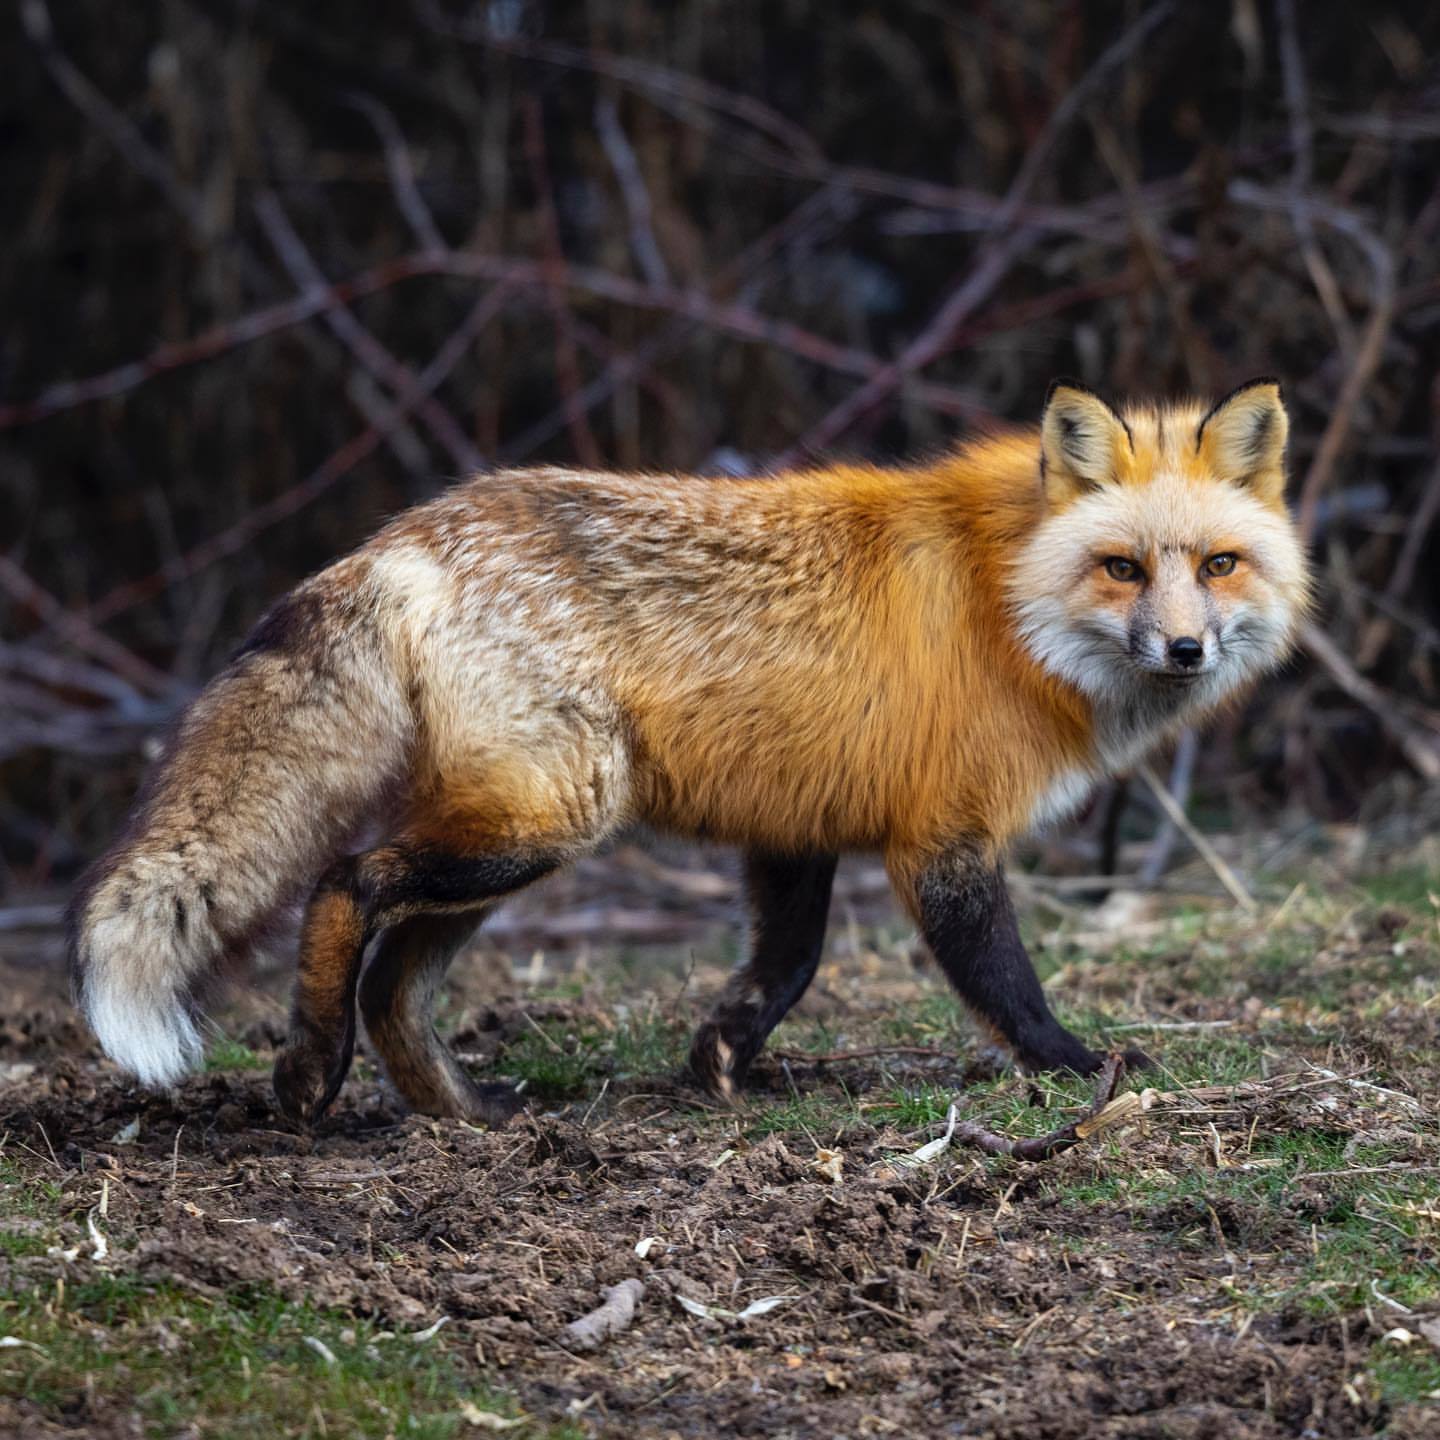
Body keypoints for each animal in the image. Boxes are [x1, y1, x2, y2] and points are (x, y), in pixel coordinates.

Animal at [64, 383, 1307, 1123]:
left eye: (1220, 565)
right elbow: (1002, 980)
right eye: (1124, 569)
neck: (1006, 601)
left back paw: (466, 1118)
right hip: (547, 818)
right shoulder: (941, 838)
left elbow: (785, 966)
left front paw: (719, 1060)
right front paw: (1078, 1068)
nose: (1187, 649)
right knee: (341, 886)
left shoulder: (797, 823)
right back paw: (308, 1071)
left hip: (514, 829)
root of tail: (400, 538)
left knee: (396, 980)